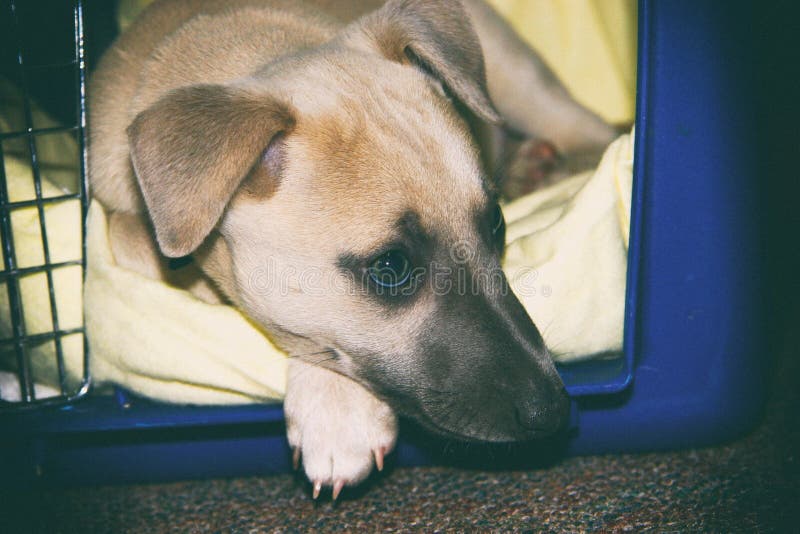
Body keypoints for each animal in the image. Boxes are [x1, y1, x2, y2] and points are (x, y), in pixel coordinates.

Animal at [92, 0, 620, 500]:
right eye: (390, 267)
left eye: (496, 224)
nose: (552, 411)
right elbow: (132, 238)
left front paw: (338, 410)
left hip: (519, 75)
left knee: (593, 132)